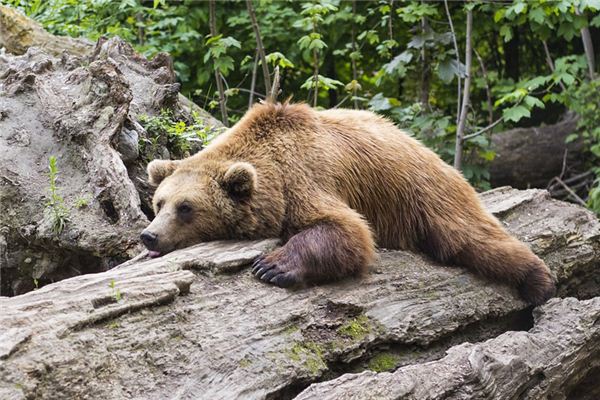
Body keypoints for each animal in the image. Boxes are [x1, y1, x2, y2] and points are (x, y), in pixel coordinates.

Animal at [144, 101, 556, 304]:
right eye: (159, 203)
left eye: (186, 207)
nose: (149, 236)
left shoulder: (305, 180)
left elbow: (347, 230)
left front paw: (272, 266)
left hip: (424, 193)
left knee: (471, 237)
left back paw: (539, 280)